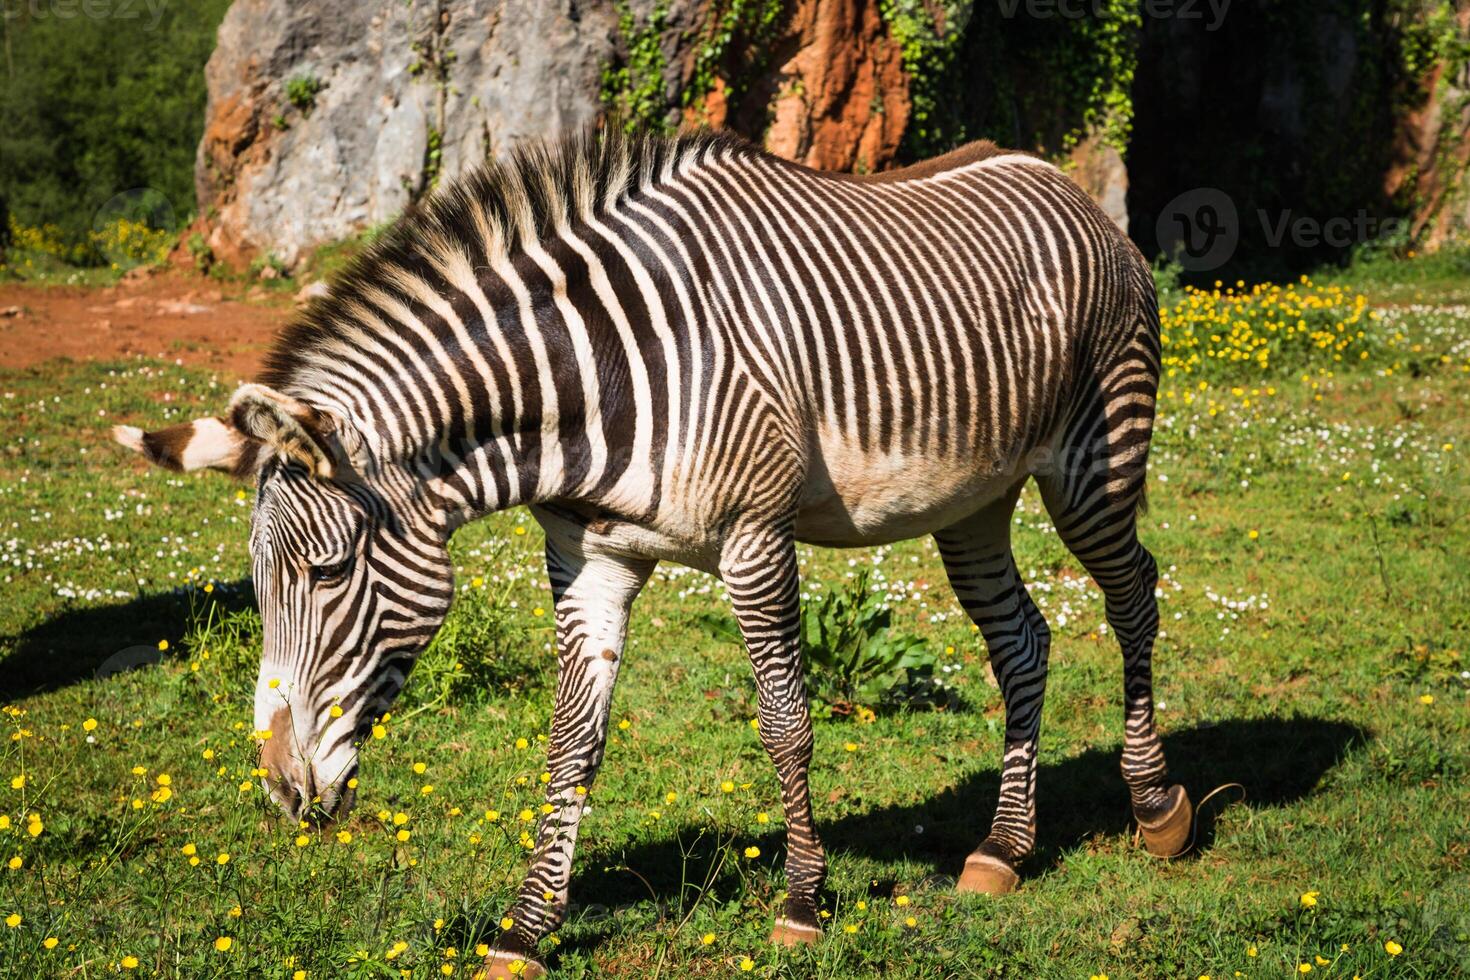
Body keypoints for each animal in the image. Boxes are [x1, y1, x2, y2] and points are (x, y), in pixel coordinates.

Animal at [114, 130, 1193, 980]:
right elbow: (570, 741)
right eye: (258, 589)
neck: (581, 394)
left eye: (329, 573)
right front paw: (526, 930)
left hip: (1095, 458)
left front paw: (803, 904)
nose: (281, 789)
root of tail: (1061, 179)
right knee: (1023, 640)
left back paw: (1156, 807)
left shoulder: (756, 539)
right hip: (972, 499)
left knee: (1133, 596)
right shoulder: (588, 561)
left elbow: (787, 725)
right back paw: (1003, 848)